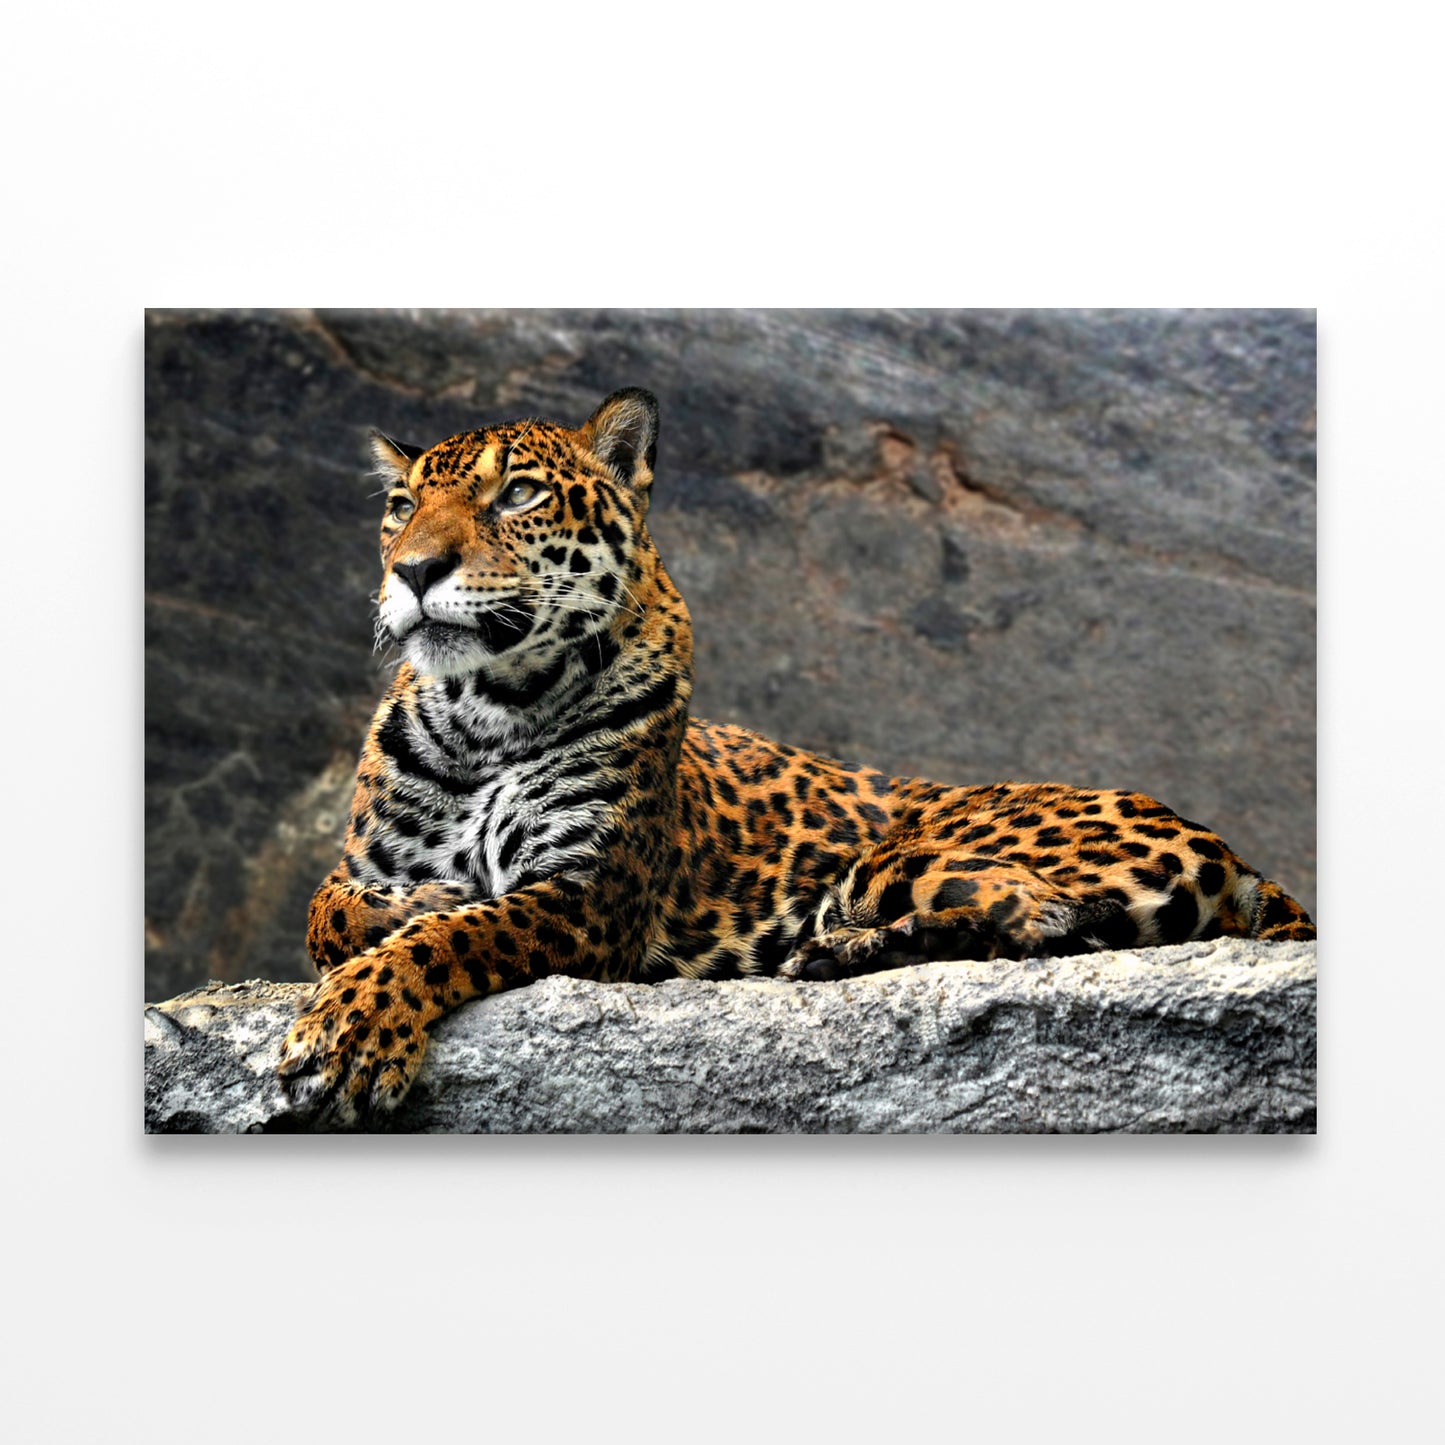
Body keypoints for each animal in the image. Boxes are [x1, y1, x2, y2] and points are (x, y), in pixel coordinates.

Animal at [278, 387, 1315, 1126]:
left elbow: (451, 935)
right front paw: (404, 907)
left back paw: (834, 953)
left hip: (903, 855)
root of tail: (1228, 848)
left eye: (519, 494)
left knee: (1037, 917)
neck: (482, 712)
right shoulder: (364, 859)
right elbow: (329, 907)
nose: (412, 570)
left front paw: (352, 1028)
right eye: (401, 506)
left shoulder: (589, 897)